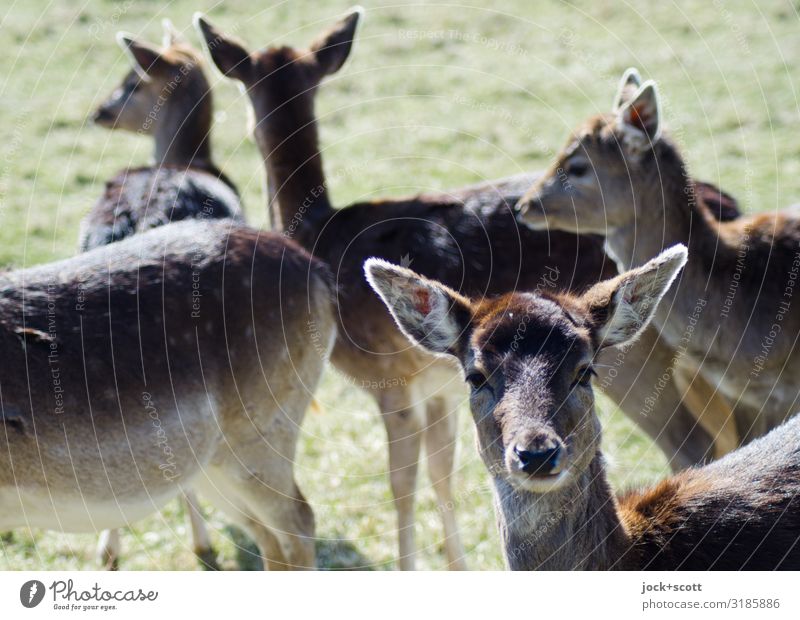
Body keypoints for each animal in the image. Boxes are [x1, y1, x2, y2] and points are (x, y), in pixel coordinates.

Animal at [194, 10, 744, 572]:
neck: (320, 235)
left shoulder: (388, 377)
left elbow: (402, 483)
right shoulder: (439, 386)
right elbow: (442, 474)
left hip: (640, 359)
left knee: (692, 441)